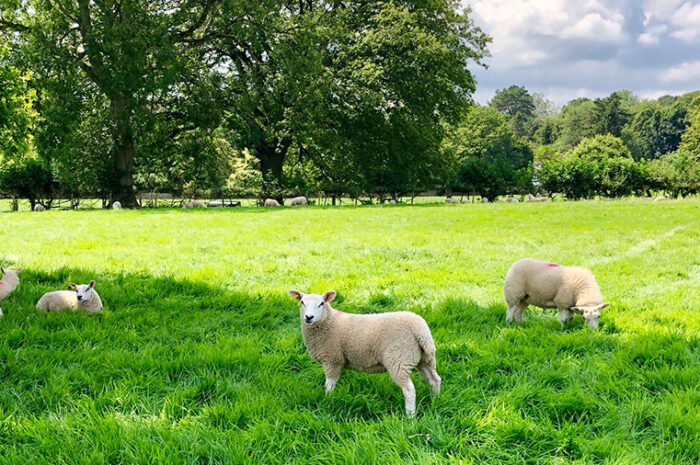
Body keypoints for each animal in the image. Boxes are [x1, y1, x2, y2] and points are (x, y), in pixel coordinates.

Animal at [288, 290, 441, 416]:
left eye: (321, 303)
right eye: (302, 302)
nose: (309, 317)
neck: (329, 321)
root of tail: (421, 331)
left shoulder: (332, 359)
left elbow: (329, 384)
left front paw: (328, 400)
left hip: (399, 360)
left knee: (409, 390)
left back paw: (410, 416)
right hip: (424, 359)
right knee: (434, 380)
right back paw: (435, 400)